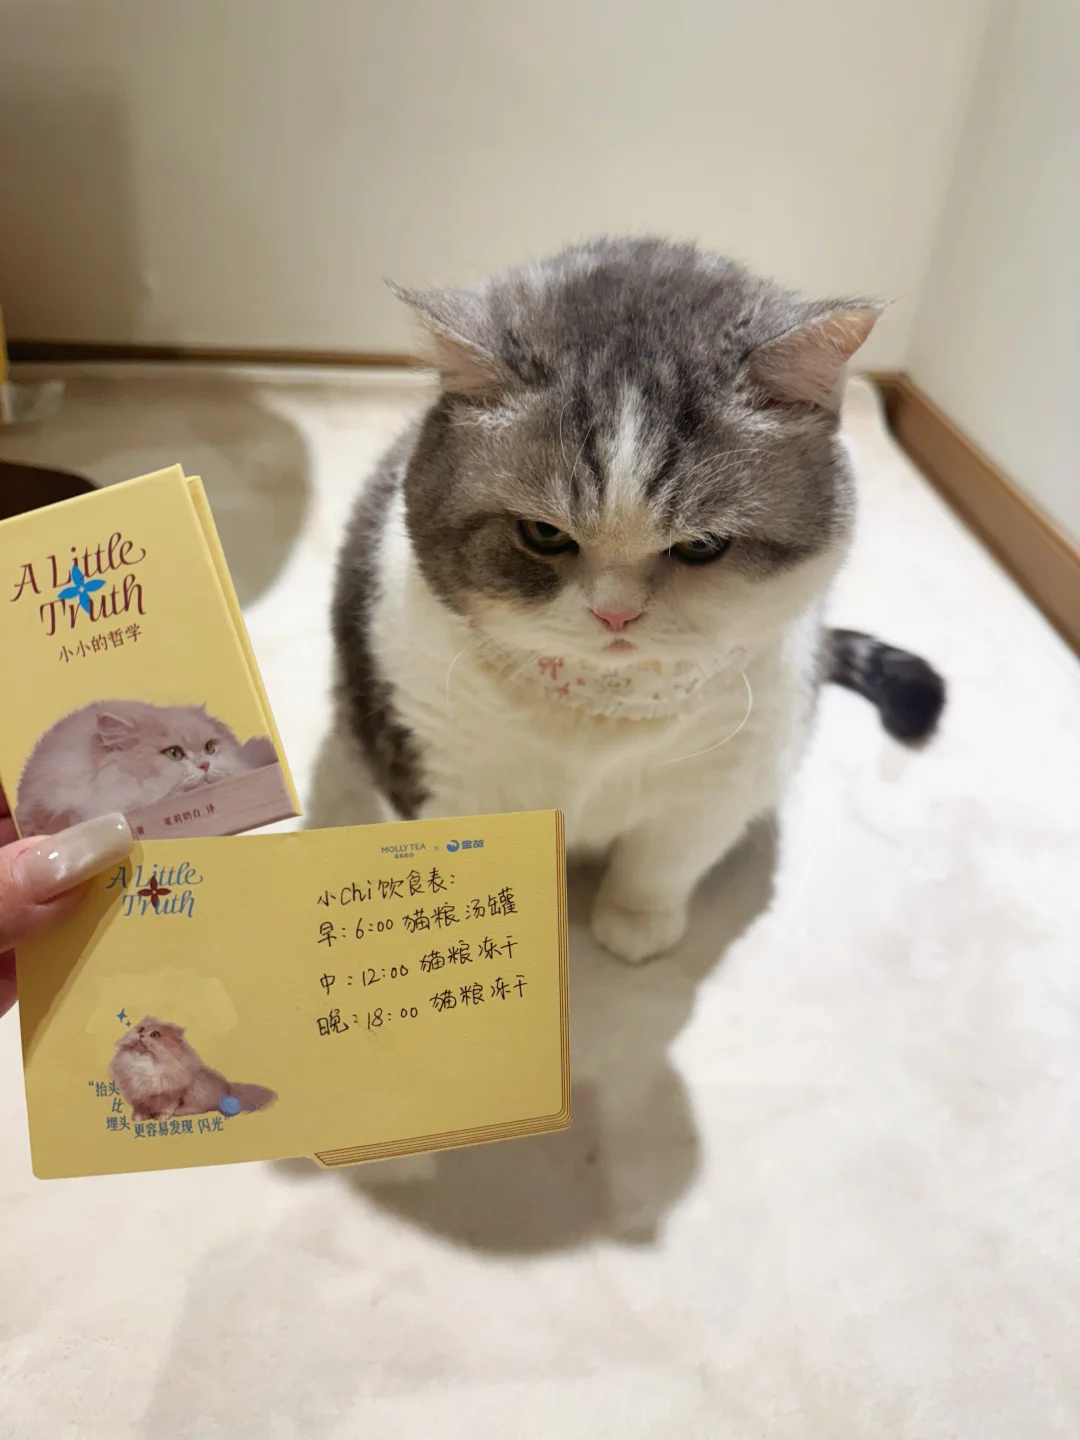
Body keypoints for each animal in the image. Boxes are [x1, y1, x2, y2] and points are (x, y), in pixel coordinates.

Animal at [110, 1017, 276, 1122]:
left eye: (154, 1035)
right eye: (141, 1029)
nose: (141, 1035)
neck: (145, 1063)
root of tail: (229, 1087)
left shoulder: (173, 1093)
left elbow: (167, 1107)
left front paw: (161, 1117)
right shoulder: (138, 1094)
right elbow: (140, 1108)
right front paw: (138, 1118)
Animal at [332, 237, 946, 966]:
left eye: (702, 545)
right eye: (543, 534)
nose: (615, 612)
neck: (605, 710)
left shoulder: (719, 786)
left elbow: (663, 862)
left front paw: (634, 927)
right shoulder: (441, 769)